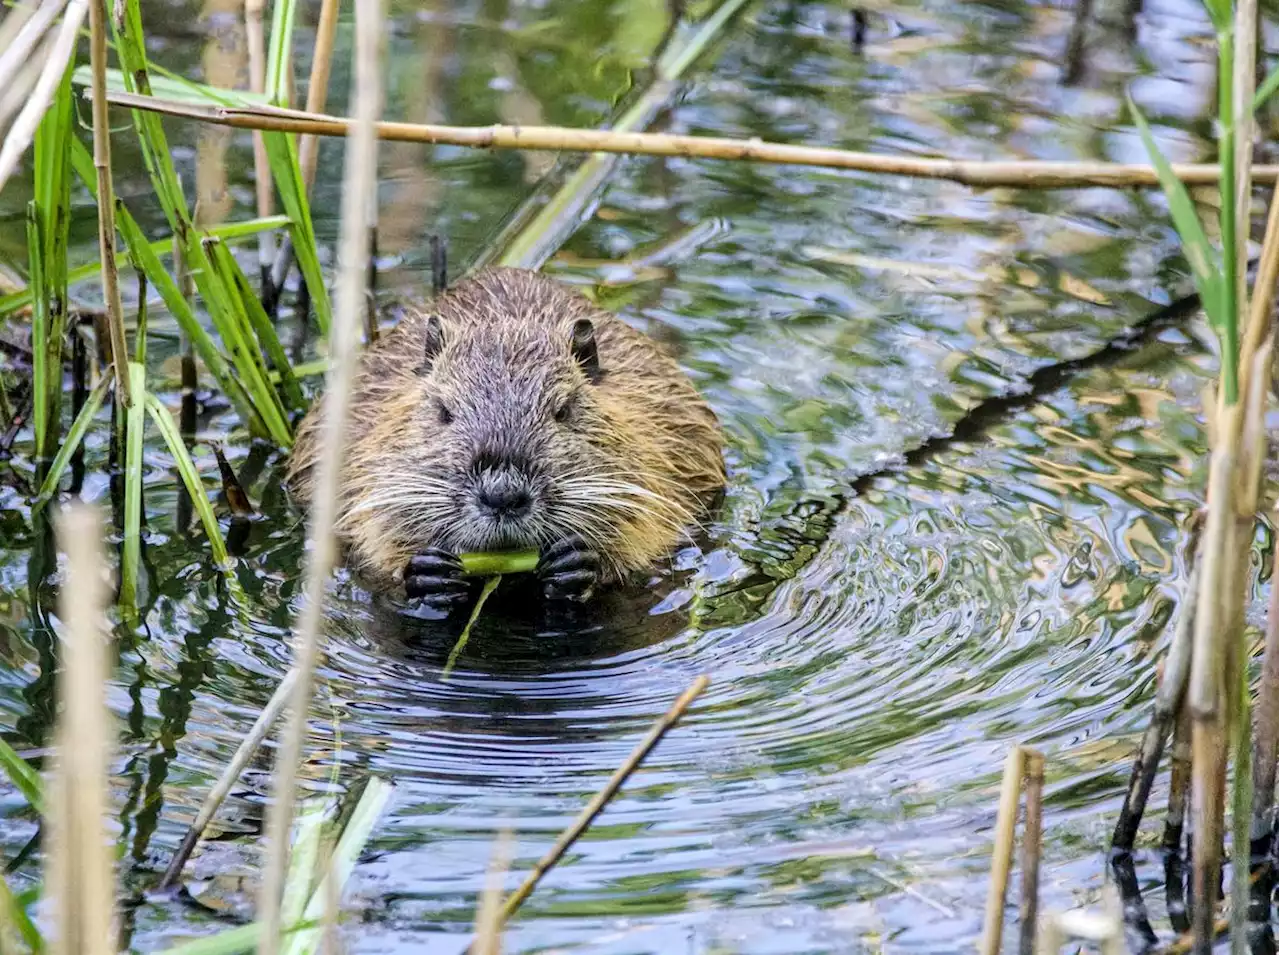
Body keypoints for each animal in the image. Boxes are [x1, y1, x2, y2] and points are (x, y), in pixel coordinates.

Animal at [291, 267, 732, 609]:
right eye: (443, 411)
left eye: (563, 410)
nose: (502, 495)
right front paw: (427, 572)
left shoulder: (660, 439)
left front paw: (577, 563)